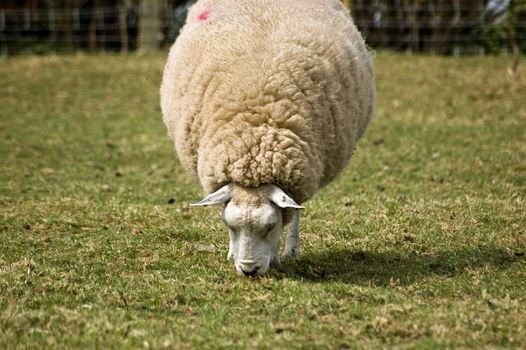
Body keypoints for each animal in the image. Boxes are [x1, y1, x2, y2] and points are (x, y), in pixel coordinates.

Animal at [161, 0, 376, 276]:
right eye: (229, 226)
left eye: (270, 226)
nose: (249, 270)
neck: (255, 146)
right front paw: (232, 253)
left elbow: (290, 215)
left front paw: (279, 255)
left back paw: (291, 250)